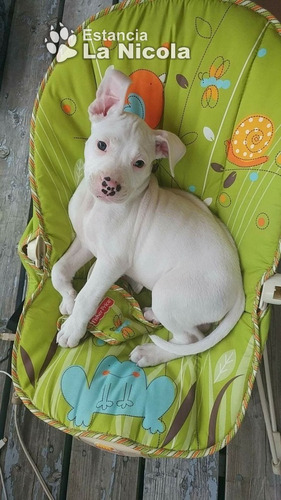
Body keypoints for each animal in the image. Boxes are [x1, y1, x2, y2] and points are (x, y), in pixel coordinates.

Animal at [51, 67, 244, 368]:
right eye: (101, 145)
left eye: (139, 164)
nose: (109, 186)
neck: (97, 207)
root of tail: (239, 287)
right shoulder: (85, 242)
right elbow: (58, 270)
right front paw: (68, 298)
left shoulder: (110, 262)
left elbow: (88, 296)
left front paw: (73, 326)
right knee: (196, 331)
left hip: (169, 294)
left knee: (189, 341)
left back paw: (149, 353)